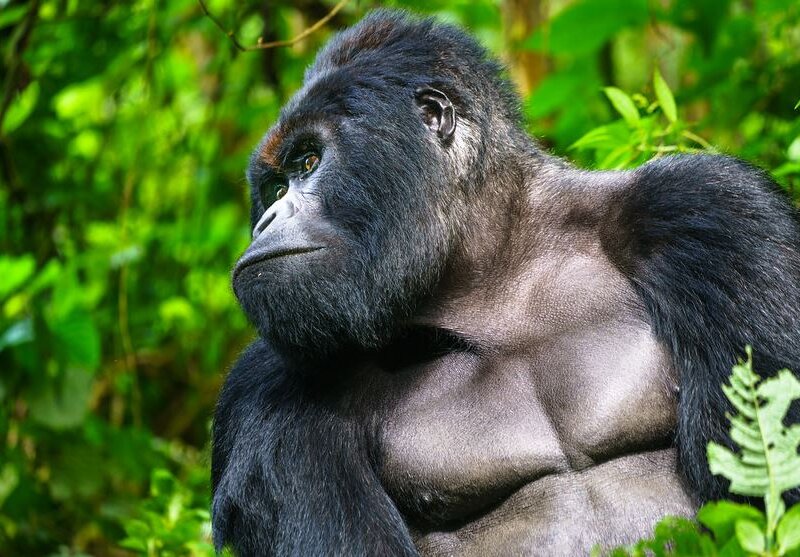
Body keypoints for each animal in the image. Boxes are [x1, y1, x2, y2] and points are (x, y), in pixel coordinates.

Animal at [211, 10, 800, 556]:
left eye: (309, 161)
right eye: (274, 188)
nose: (265, 222)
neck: (495, 270)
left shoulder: (712, 211)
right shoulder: (268, 387)